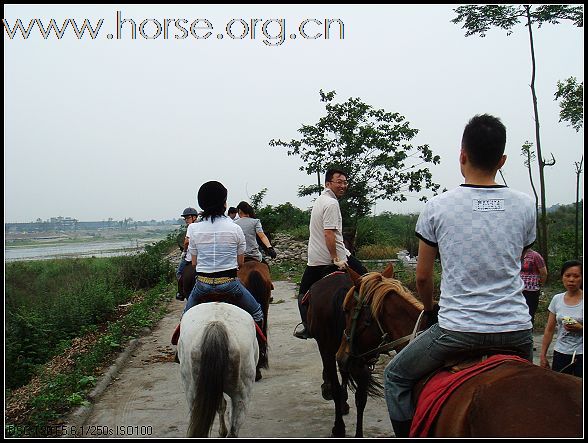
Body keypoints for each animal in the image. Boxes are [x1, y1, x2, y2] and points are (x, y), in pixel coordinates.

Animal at [178, 304, 258, 438]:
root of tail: (216, 325)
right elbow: (221, 405)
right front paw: (222, 431)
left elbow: (220, 405)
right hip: (242, 393)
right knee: (234, 427)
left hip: (192, 391)